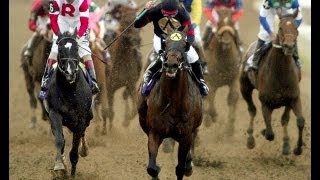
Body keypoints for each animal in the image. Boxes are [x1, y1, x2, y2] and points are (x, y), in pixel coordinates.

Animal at [43, 28, 92, 178]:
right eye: (60, 49)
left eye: (76, 48)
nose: (70, 72)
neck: (70, 91)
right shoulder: (55, 113)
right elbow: (60, 140)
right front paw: (59, 166)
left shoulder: (80, 119)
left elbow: (75, 149)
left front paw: (73, 173)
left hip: (87, 118)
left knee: (82, 134)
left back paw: (84, 149)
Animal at [138, 27, 202, 180]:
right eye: (165, 43)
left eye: (185, 44)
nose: (171, 65)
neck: (173, 102)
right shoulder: (155, 132)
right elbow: (152, 168)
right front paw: (157, 168)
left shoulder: (185, 135)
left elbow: (180, 168)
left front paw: (187, 166)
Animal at [240, 10, 304, 155]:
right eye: (280, 27)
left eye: (296, 28)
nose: (289, 46)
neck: (280, 73)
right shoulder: (266, 103)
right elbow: (269, 134)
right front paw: (263, 131)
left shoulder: (294, 98)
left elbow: (298, 121)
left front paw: (296, 148)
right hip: (244, 87)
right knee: (252, 110)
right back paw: (250, 139)